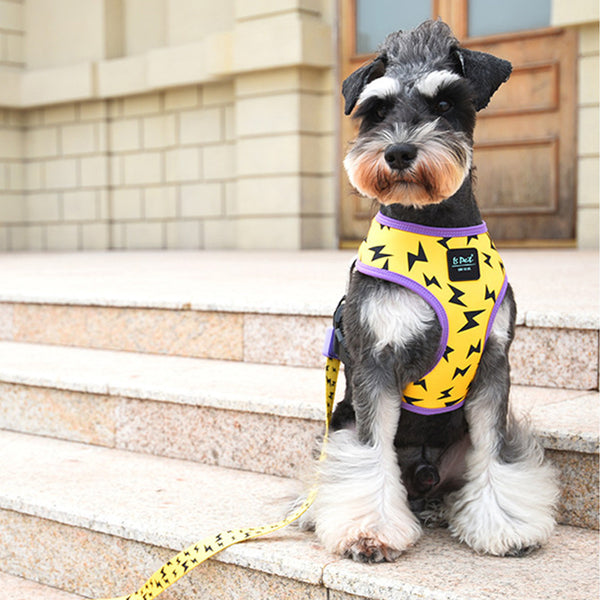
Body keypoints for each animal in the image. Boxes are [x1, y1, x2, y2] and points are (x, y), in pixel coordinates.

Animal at [300, 18, 556, 564]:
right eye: (377, 110)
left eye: (443, 103)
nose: (398, 152)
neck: (435, 229)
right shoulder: (375, 363)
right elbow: (371, 454)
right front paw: (369, 531)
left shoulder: (494, 366)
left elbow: (494, 451)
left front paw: (504, 526)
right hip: (340, 425)